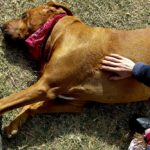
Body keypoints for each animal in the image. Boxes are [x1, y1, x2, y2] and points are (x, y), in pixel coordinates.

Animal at [0, 0, 150, 137]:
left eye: (24, 15)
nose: (2, 26)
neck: (57, 34)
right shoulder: (72, 103)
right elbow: (30, 106)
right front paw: (14, 124)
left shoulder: (44, 86)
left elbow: (6, 102)